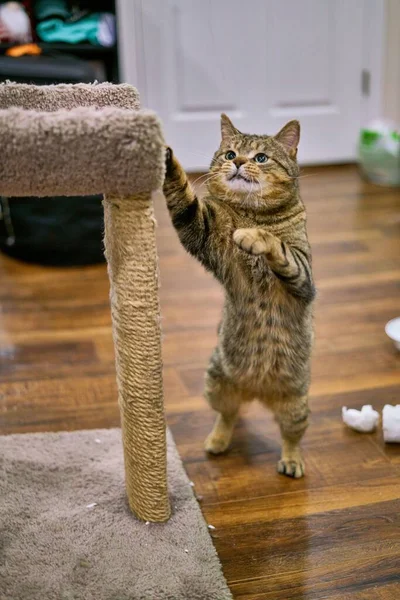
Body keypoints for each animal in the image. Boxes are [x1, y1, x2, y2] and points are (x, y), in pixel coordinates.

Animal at [162, 116, 316, 478]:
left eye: (260, 157)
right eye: (230, 153)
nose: (238, 162)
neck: (253, 214)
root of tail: (256, 392)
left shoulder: (303, 273)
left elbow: (279, 247)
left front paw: (255, 238)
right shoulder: (202, 229)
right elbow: (185, 200)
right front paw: (166, 160)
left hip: (296, 407)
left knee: (291, 437)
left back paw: (292, 461)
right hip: (216, 384)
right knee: (228, 415)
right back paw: (217, 440)